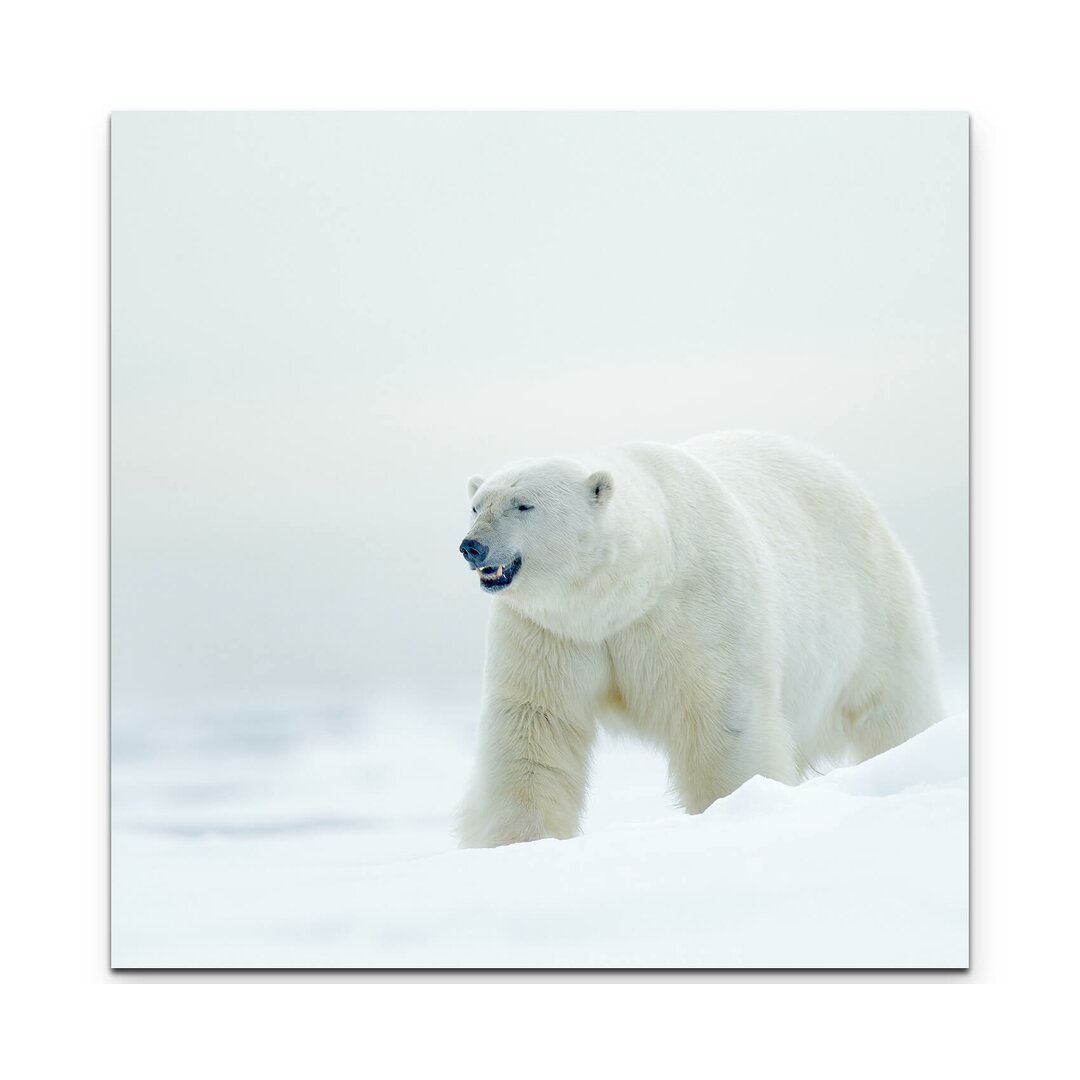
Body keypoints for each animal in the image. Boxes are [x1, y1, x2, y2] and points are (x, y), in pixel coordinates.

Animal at [455, 427, 946, 842]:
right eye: (477, 505)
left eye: (524, 504)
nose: (471, 546)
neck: (620, 596)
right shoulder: (550, 630)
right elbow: (536, 722)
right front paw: (520, 839)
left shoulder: (694, 609)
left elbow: (721, 716)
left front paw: (734, 807)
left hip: (872, 606)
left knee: (896, 706)